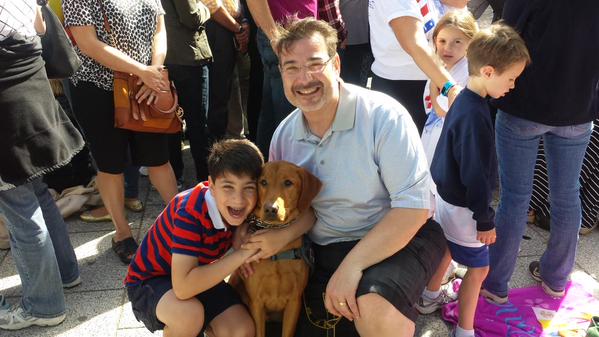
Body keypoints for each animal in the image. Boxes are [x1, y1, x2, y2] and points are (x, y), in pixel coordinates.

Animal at [233, 160, 322, 336]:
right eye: (263, 182)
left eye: (288, 183)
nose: (270, 209)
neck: (278, 254)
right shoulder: (256, 303)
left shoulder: (294, 302)